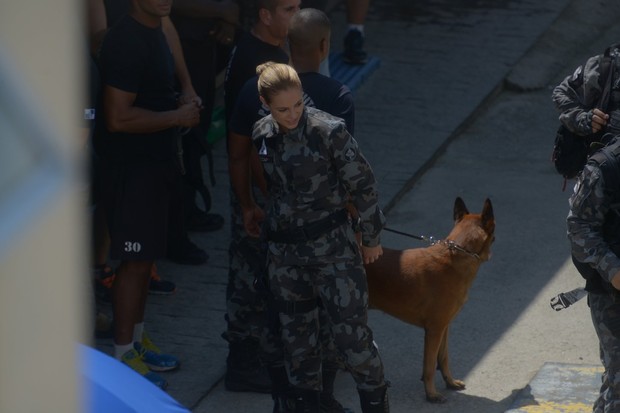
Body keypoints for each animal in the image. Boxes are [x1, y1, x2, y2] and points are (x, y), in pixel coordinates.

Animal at [364, 198, 494, 400]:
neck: (457, 254)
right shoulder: (434, 331)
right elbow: (430, 365)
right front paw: (431, 393)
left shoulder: (444, 327)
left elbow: (444, 358)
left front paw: (450, 382)